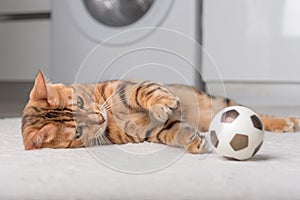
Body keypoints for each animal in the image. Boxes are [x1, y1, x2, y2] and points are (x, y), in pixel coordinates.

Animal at [21, 71, 300, 153]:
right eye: (77, 132)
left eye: (79, 102)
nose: (100, 118)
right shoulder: (148, 133)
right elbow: (173, 131)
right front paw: (193, 142)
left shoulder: (125, 87)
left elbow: (145, 91)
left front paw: (163, 104)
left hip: (220, 103)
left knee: (256, 114)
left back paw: (288, 121)